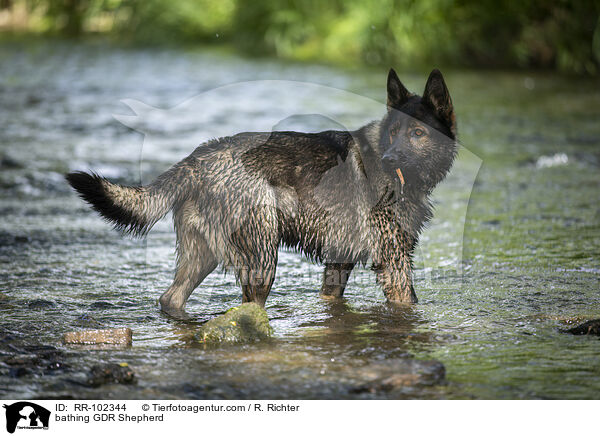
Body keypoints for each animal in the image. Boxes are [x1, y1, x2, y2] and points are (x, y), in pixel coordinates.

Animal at [65, 68, 458, 316]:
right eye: (393, 133)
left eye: (417, 133)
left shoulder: (339, 261)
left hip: (203, 256)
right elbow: (410, 302)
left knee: (171, 298)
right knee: (247, 308)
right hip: (262, 261)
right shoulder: (394, 262)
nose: (390, 159)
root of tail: (196, 158)